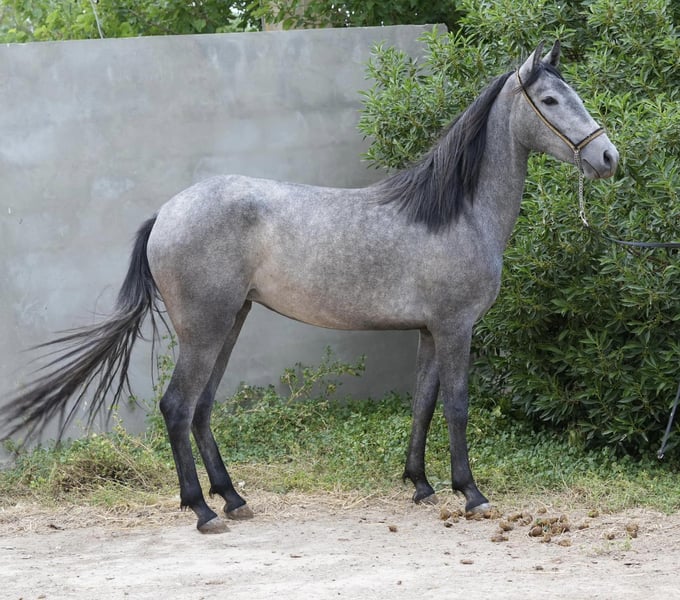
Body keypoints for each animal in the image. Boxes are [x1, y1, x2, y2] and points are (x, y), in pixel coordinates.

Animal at [1, 41, 618, 533]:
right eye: (552, 100)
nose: (608, 157)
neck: (456, 213)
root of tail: (166, 213)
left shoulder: (428, 331)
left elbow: (423, 402)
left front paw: (419, 485)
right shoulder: (454, 327)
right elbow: (458, 405)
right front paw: (471, 493)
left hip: (230, 323)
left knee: (201, 407)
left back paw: (233, 498)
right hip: (205, 329)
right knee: (177, 406)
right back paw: (202, 510)